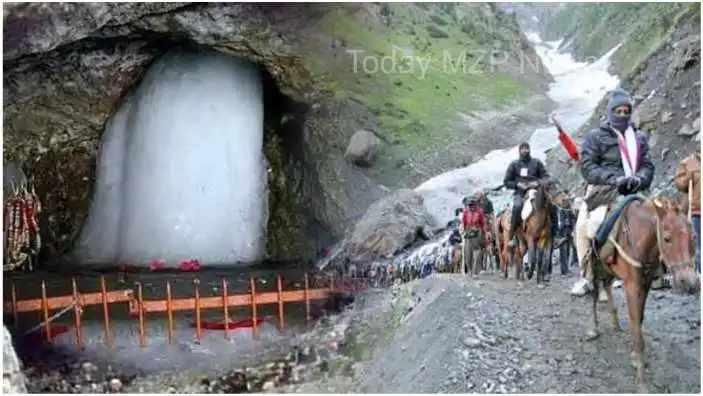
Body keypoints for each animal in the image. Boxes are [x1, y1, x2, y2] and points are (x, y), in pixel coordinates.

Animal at [584, 195, 700, 392]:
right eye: (667, 239)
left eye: (693, 237)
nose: (690, 283)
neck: (640, 238)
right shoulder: (632, 286)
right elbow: (636, 327)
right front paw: (641, 381)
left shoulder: (645, 285)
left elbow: (639, 320)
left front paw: (635, 357)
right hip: (595, 265)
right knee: (594, 294)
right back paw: (593, 329)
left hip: (608, 269)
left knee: (607, 286)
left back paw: (615, 321)